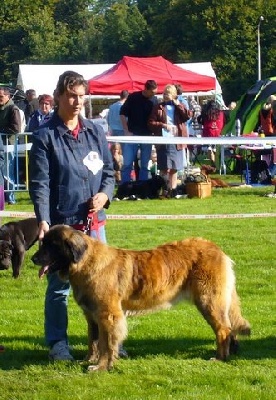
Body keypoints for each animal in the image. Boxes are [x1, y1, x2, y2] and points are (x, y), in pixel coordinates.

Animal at [31, 225, 250, 372]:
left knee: (223, 329)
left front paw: (101, 367)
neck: (86, 262)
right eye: (43, 243)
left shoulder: (107, 315)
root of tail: (217, 249)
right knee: (228, 327)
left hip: (208, 301)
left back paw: (219, 358)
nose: (33, 258)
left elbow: (105, 343)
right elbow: (93, 341)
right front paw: (89, 361)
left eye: (52, 245)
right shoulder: (92, 316)